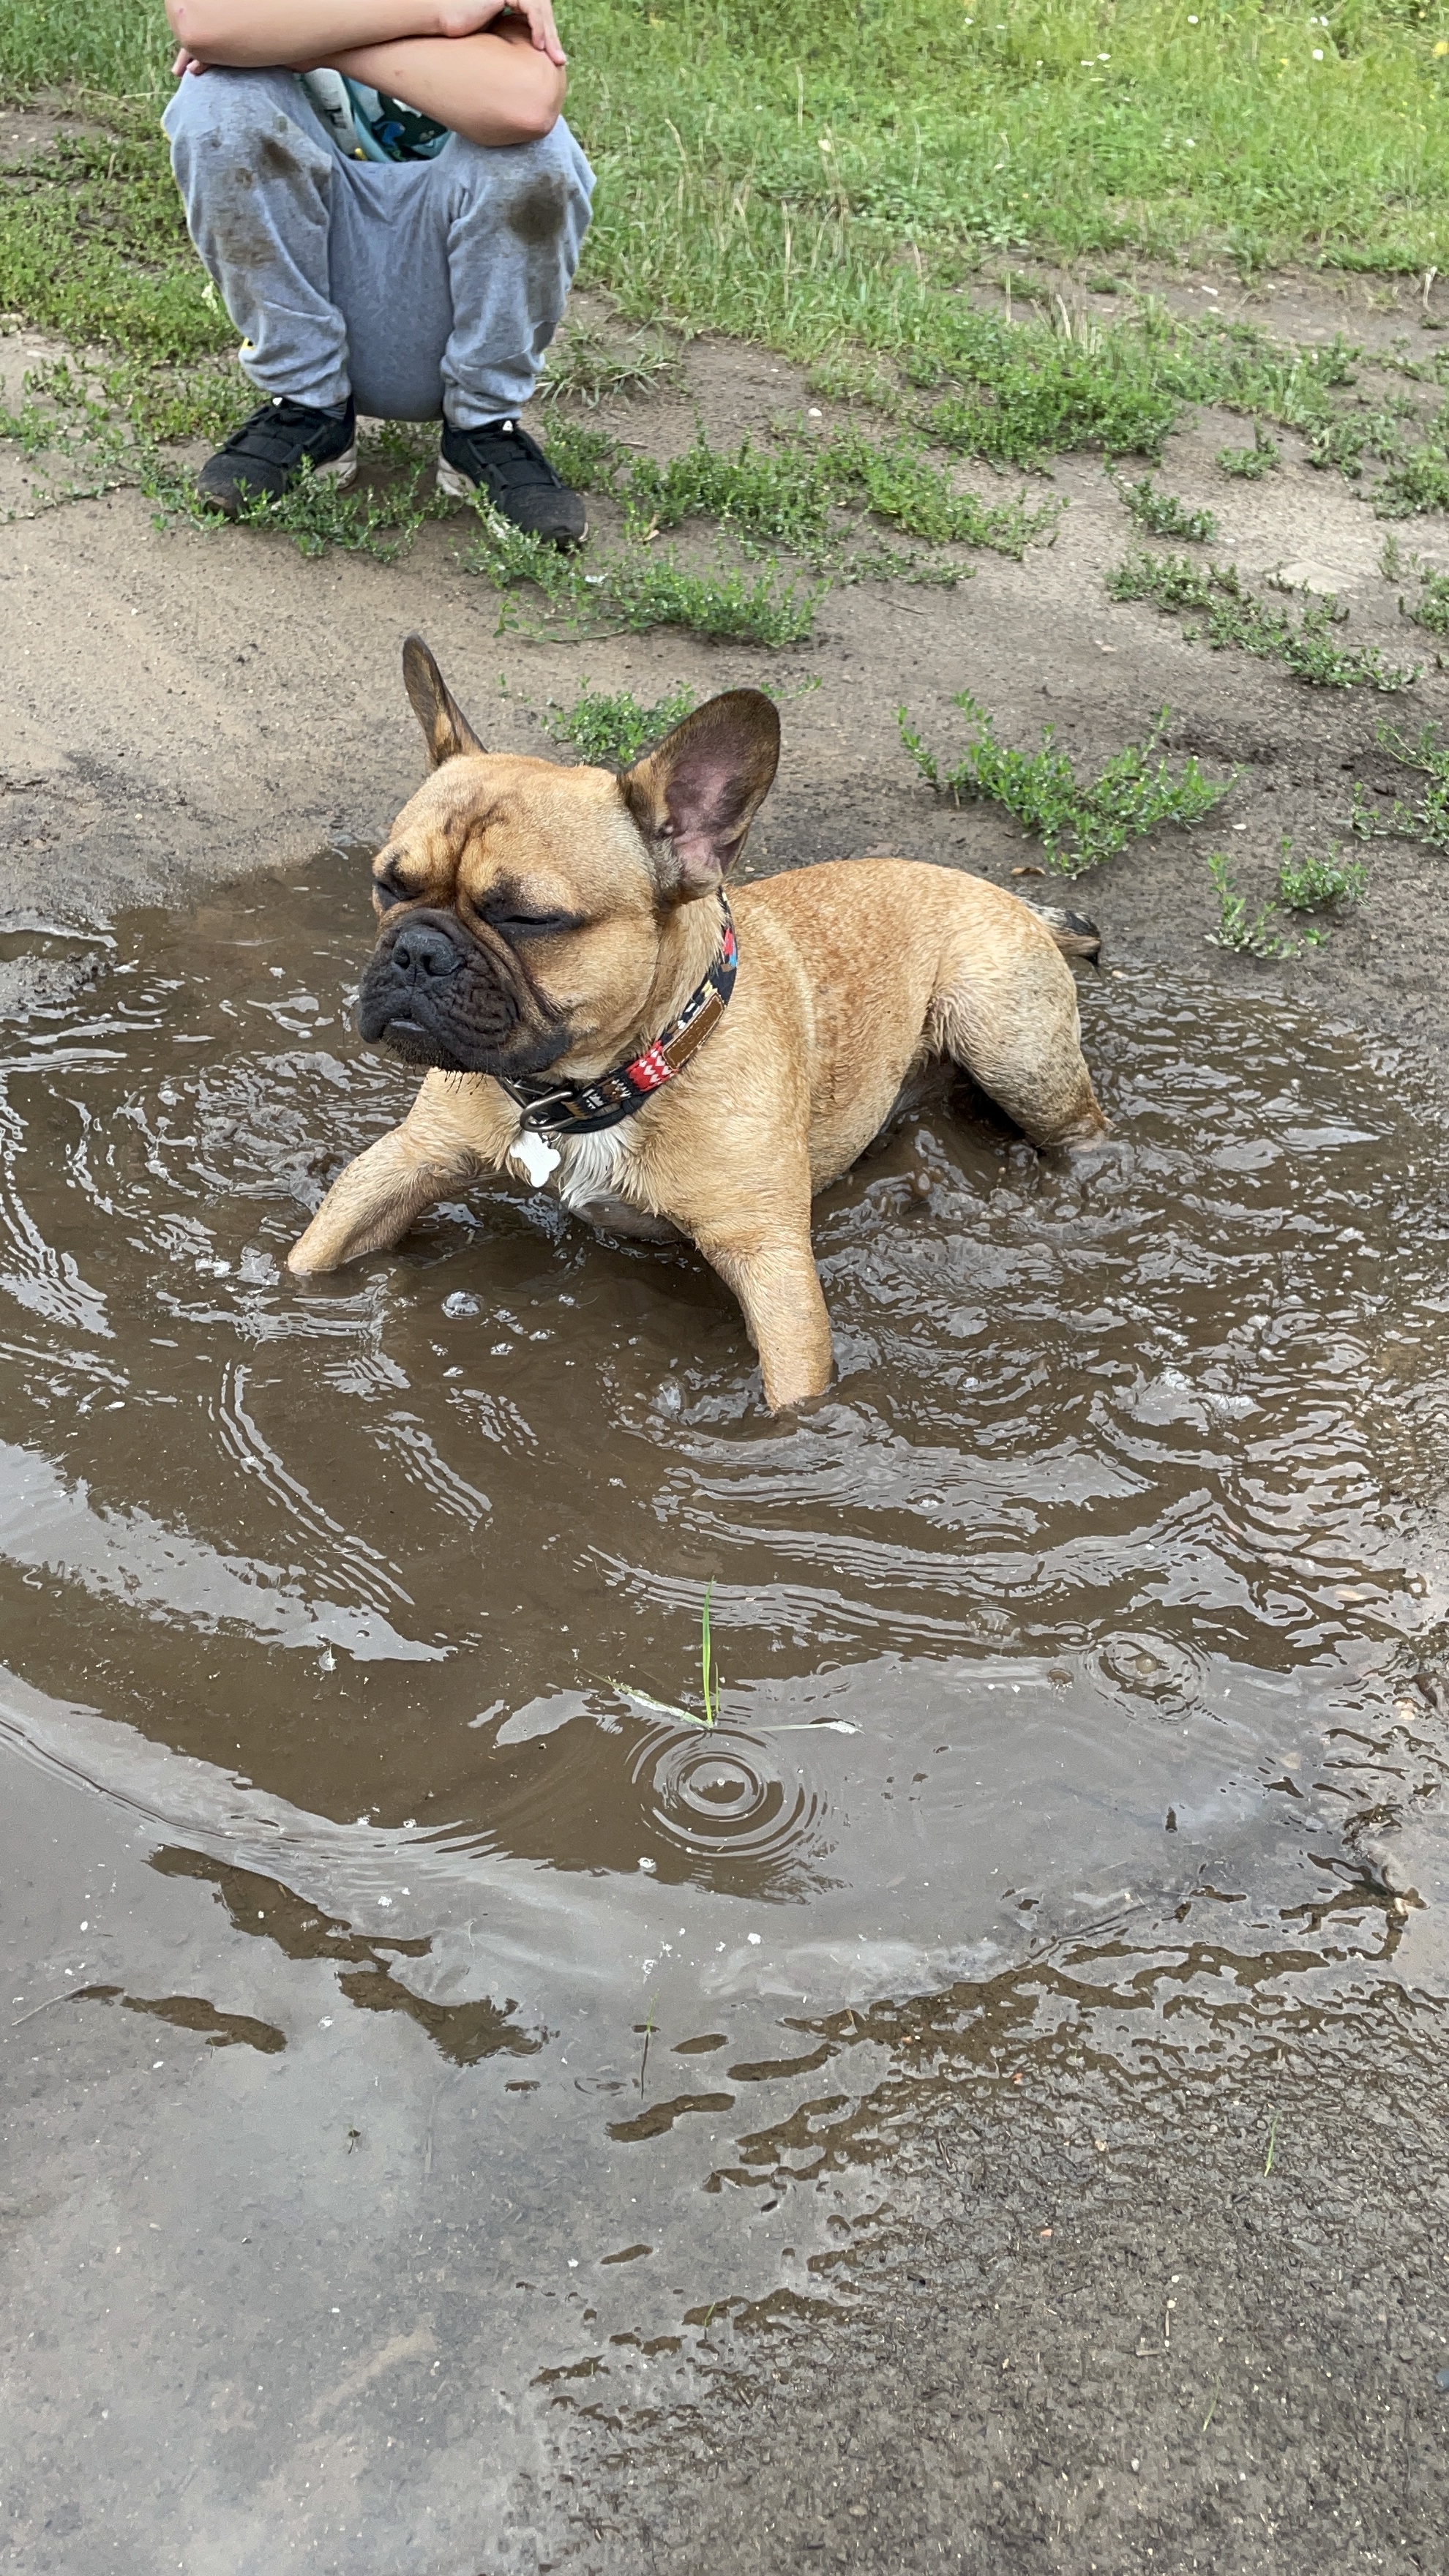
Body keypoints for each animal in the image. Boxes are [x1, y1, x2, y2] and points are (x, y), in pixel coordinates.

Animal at [293, 644, 1103, 1411]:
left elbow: (794, 1392)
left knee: (1083, 1130)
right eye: (387, 883)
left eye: (528, 918)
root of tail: (1016, 901)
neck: (602, 1085)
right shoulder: (404, 1161)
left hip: (1008, 1047)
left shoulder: (770, 1262)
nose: (416, 951)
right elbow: (315, 1251)